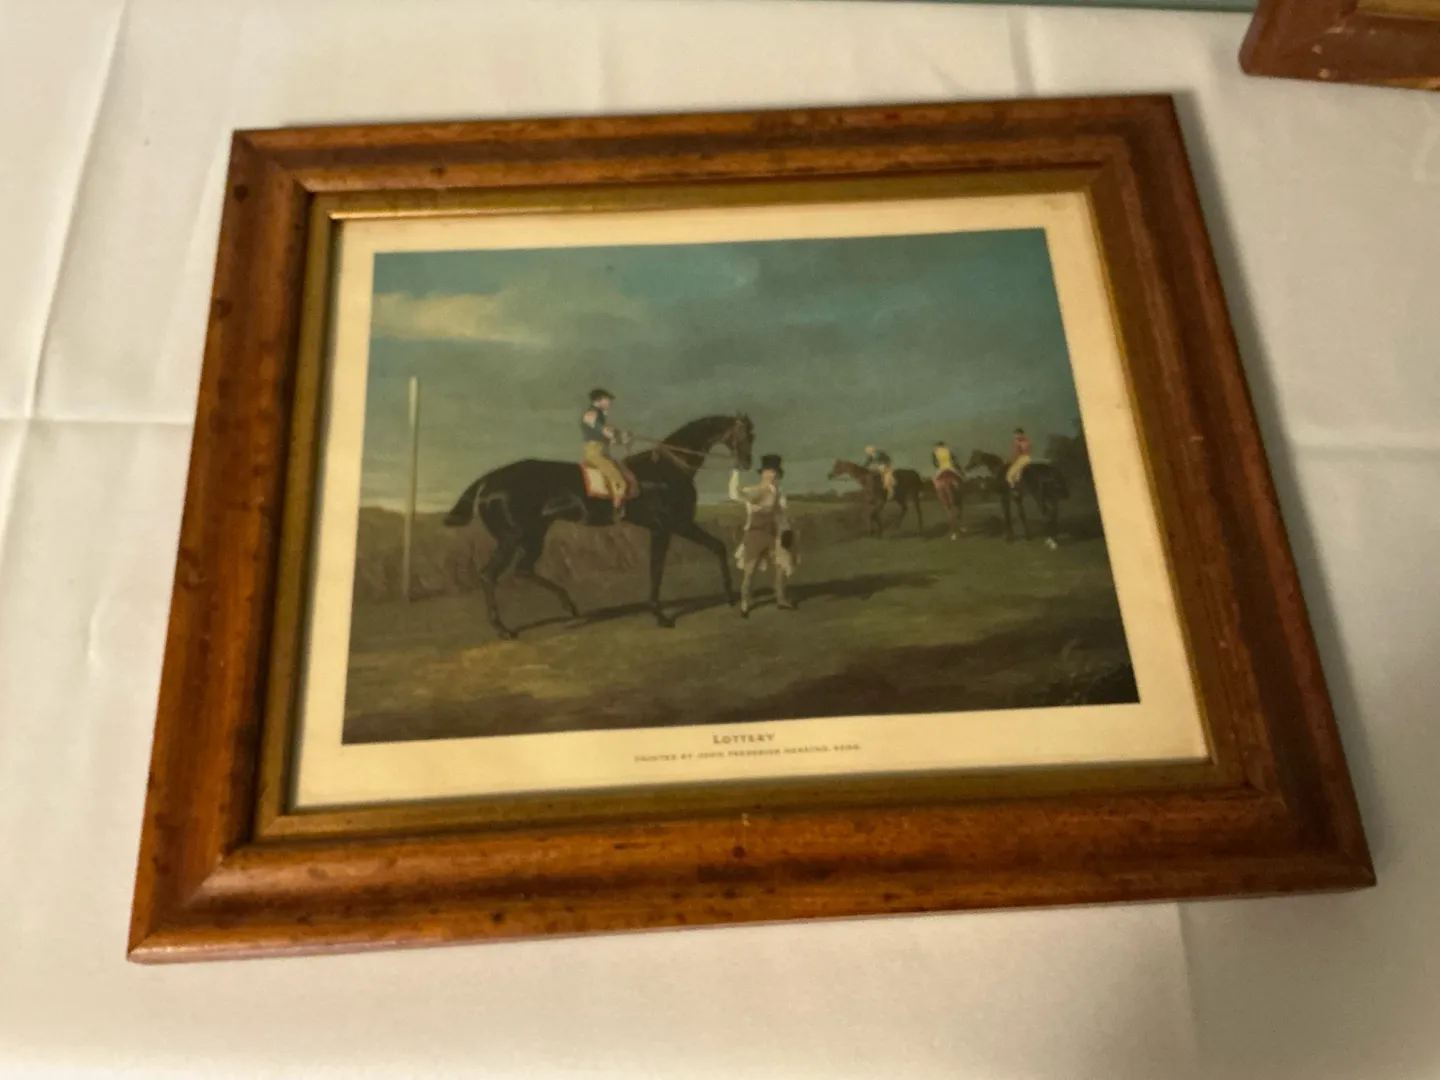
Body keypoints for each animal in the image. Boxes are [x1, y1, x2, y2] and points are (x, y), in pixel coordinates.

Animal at [444, 414, 754, 639]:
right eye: (743, 434)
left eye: (752, 434)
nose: (747, 462)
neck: (666, 470)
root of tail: (488, 481)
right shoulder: (666, 527)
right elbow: (656, 571)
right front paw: (660, 616)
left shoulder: (682, 524)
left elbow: (718, 546)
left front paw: (731, 596)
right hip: (512, 537)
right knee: (489, 575)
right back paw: (503, 629)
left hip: (534, 534)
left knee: (522, 570)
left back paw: (570, 607)